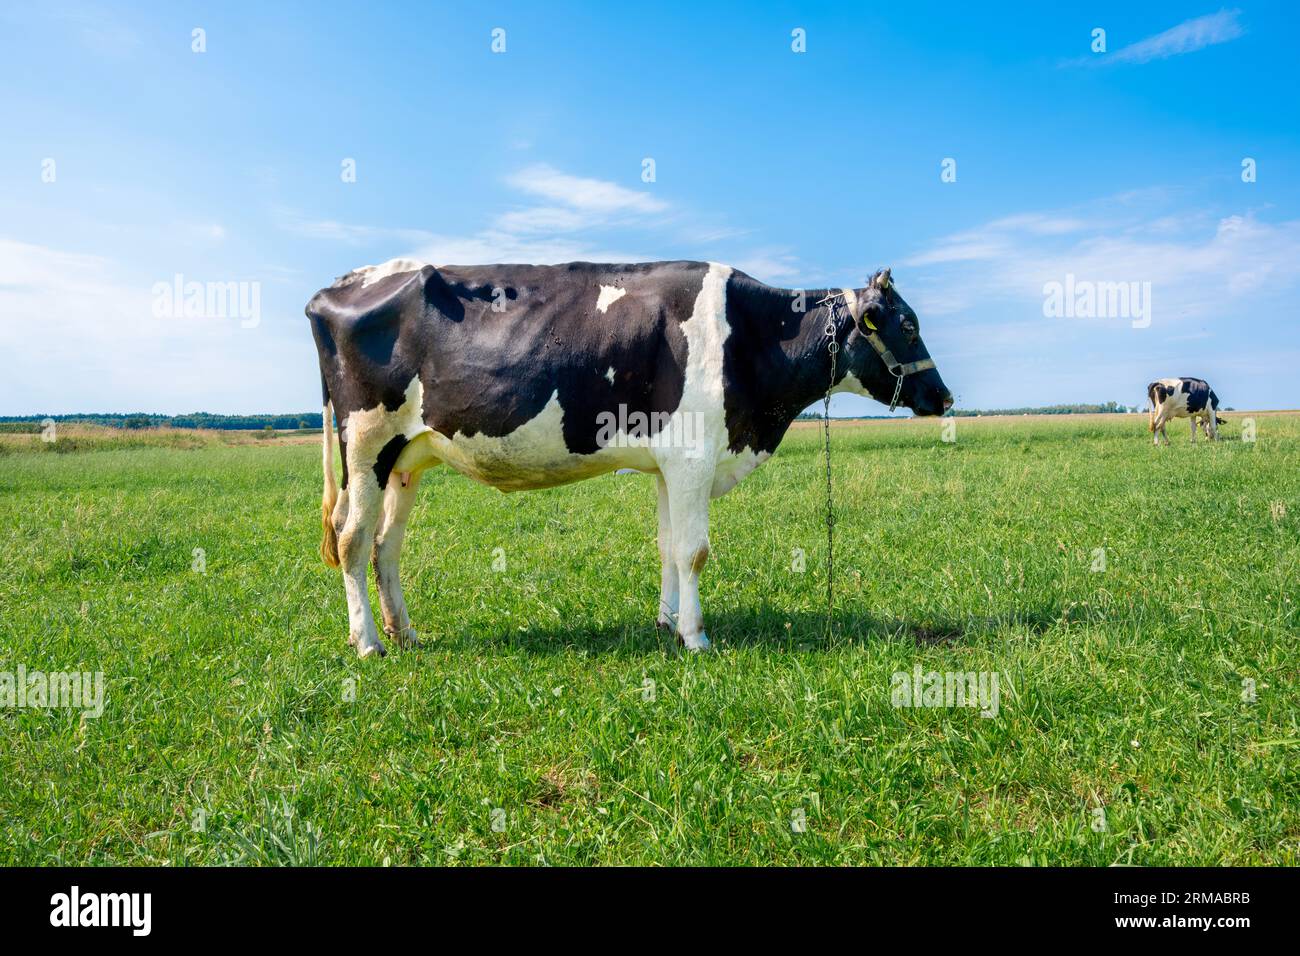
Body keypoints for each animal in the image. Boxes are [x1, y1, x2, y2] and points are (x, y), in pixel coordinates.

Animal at [308, 257, 951, 655]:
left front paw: (667, 622)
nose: (945, 397)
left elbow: (669, 546)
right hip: (365, 445)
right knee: (352, 540)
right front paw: (696, 636)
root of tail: (338, 285)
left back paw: (405, 633)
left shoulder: (671, 463)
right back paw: (368, 642)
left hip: (405, 459)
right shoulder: (693, 457)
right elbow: (694, 551)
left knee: (386, 546)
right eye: (908, 323)